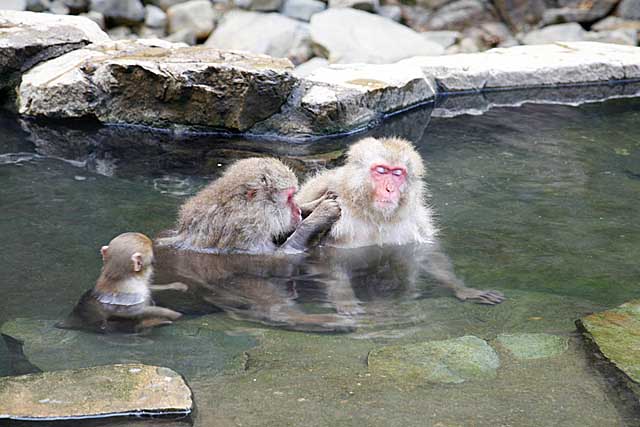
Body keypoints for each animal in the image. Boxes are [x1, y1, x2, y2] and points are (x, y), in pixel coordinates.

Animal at [57, 232, 186, 332]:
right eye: (152, 261)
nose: (155, 262)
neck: (118, 276)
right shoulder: (135, 295)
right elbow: (138, 311)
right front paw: (174, 314)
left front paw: (177, 286)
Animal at [159, 157, 340, 254]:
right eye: (289, 197)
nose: (296, 210)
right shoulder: (248, 231)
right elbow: (281, 255)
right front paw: (321, 215)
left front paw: (314, 204)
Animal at [298, 137, 508, 308]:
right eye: (381, 171)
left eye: (397, 173)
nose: (390, 189)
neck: (373, 213)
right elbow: (327, 261)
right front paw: (345, 299)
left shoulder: (415, 218)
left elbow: (425, 252)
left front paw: (463, 289)